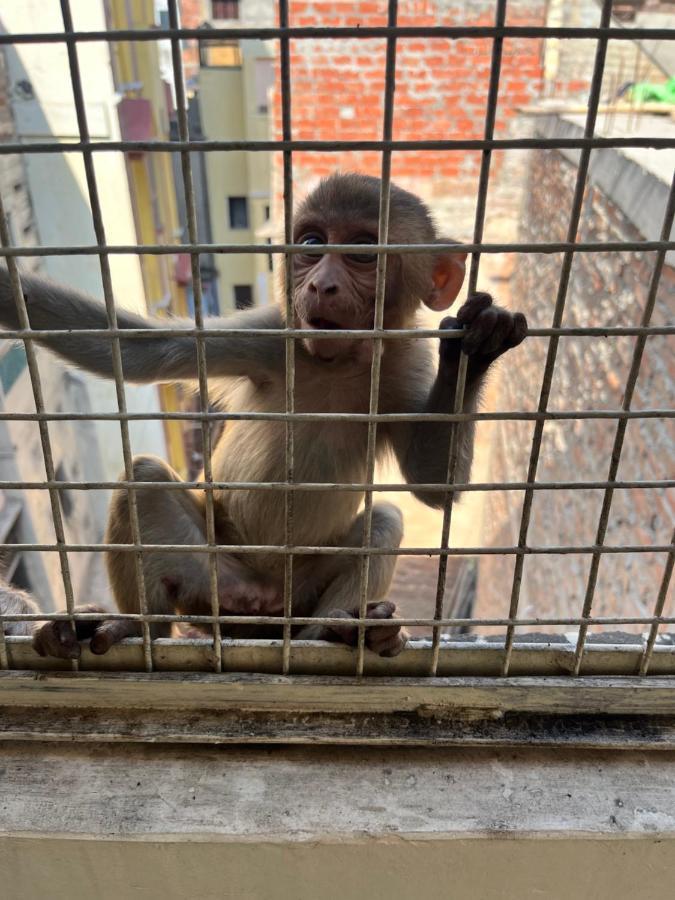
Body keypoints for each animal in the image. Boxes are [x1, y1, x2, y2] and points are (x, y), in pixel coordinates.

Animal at [0, 174, 528, 660]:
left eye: (362, 253)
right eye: (311, 245)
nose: (320, 285)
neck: (336, 361)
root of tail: (262, 605)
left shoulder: (404, 359)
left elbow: (432, 484)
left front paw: (475, 349)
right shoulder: (271, 333)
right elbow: (135, 351)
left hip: (301, 588)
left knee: (383, 521)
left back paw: (337, 631)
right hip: (211, 578)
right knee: (144, 480)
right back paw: (135, 626)